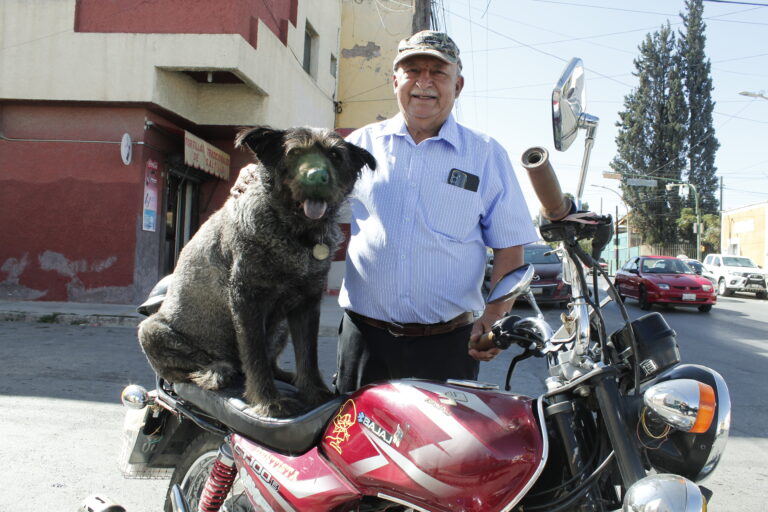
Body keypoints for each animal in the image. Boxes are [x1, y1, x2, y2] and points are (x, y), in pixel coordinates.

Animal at [141, 125, 378, 416]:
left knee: (271, 362)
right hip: (150, 331)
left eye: (335, 155)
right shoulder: (247, 300)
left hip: (281, 328)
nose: (317, 177)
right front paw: (268, 401)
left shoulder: (307, 303)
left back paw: (287, 376)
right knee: (182, 372)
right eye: (293, 152)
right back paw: (216, 370)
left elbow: (307, 354)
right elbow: (255, 357)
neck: (294, 233)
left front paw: (314, 392)